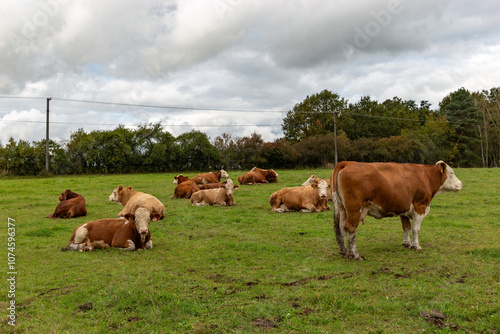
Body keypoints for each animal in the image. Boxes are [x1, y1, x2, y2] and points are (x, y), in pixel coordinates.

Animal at [330, 160, 462, 260]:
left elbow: (406, 227)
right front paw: (416, 246)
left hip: (342, 209)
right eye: (451, 172)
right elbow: (415, 229)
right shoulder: (420, 207)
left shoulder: (404, 209)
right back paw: (355, 254)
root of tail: (348, 163)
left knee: (340, 228)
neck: (425, 176)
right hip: (354, 210)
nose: (460, 184)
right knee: (350, 229)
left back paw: (344, 251)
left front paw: (406, 243)